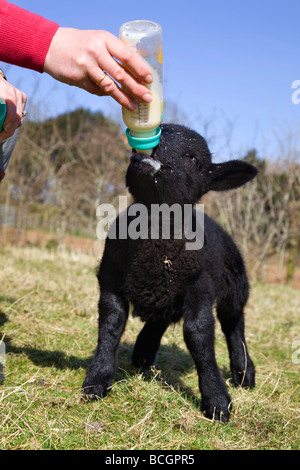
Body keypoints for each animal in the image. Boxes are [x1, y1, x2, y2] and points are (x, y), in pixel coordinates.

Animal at [83, 124, 256, 422]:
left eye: (195, 160)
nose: (156, 142)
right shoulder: (111, 280)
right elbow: (111, 324)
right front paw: (97, 381)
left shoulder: (199, 286)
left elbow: (198, 335)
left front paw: (217, 401)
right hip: (166, 292)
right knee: (159, 320)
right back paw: (142, 354)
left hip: (235, 289)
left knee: (234, 327)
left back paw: (244, 373)